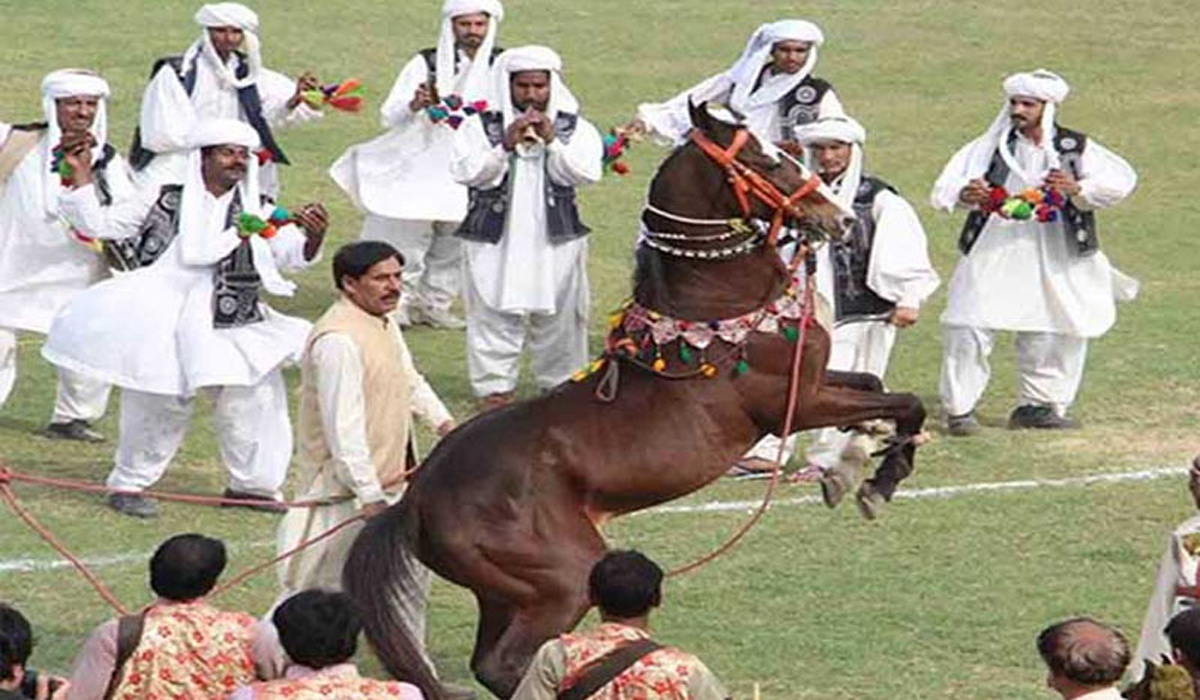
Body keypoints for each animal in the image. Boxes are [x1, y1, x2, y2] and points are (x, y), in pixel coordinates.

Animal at [348, 103, 926, 700]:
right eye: (763, 159)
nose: (842, 220)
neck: (719, 304)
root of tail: (416, 498)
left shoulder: (814, 384)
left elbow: (875, 386)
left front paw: (851, 467)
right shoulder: (794, 401)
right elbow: (906, 402)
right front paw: (876, 481)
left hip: (502, 591)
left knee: (490, 662)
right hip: (563, 578)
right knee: (507, 662)